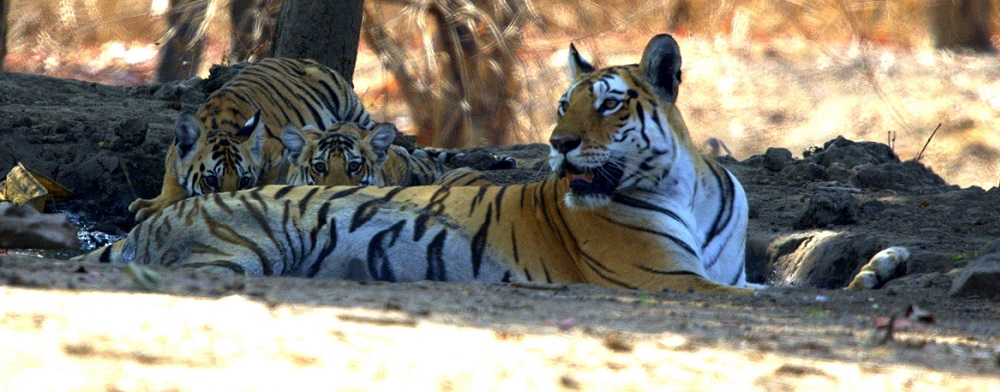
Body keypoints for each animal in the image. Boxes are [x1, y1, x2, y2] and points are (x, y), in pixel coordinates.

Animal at [129, 59, 372, 224]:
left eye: (244, 181)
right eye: (211, 181)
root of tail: (304, 60)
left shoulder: (276, 157)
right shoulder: (173, 158)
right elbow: (171, 184)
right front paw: (154, 204)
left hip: (351, 108)